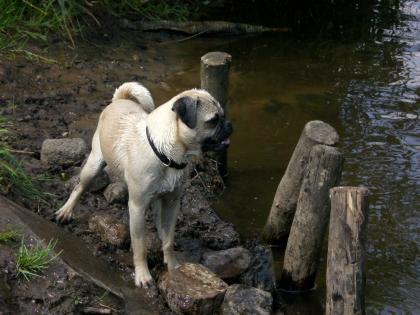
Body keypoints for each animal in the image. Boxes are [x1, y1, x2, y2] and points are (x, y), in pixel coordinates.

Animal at [54, 83, 233, 288]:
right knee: (79, 188)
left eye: (222, 116)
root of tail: (119, 100)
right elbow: (140, 247)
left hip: (158, 198)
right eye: (213, 120)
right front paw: (143, 275)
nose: (230, 124)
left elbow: (169, 240)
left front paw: (172, 264)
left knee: (160, 220)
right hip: (93, 166)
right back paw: (66, 211)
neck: (166, 153)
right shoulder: (138, 208)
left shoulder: (172, 203)